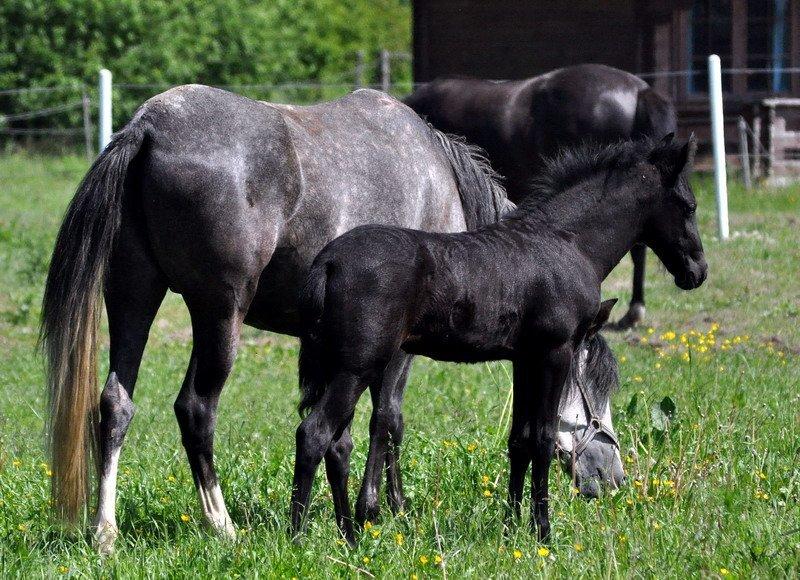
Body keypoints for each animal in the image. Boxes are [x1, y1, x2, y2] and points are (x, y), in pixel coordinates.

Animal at [292, 135, 708, 544]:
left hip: (344, 368)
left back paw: (349, 536)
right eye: (689, 206)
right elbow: (542, 438)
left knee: (338, 445)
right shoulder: (555, 354)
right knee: (314, 434)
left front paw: (511, 528)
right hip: (357, 367)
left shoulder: (525, 359)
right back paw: (298, 536)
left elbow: (519, 440)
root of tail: (328, 262)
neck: (567, 243)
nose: (697, 271)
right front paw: (543, 533)